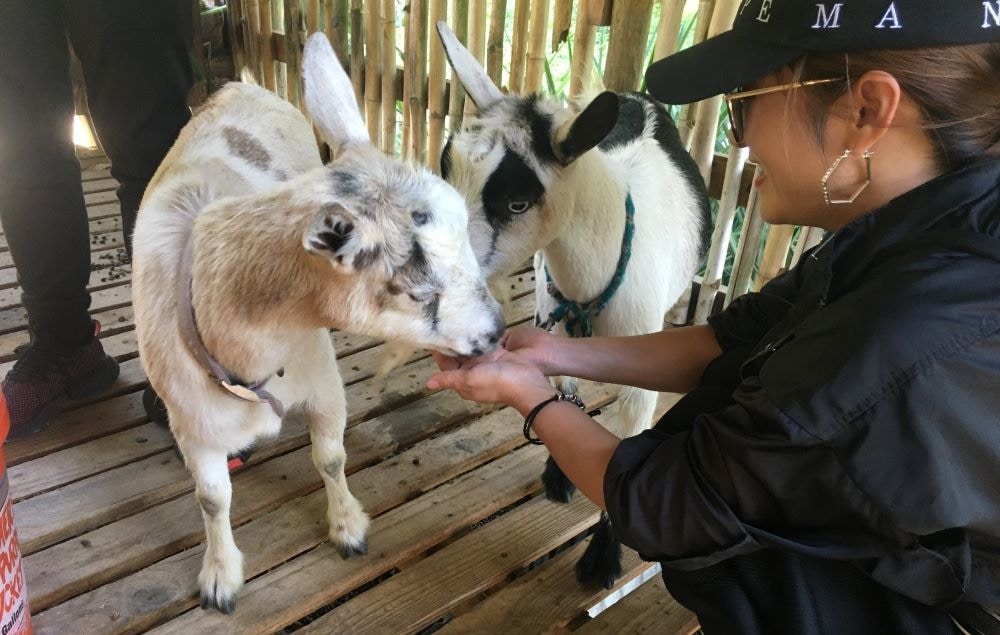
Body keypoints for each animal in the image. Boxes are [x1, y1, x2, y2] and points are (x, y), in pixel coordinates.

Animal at [438, 22, 712, 592]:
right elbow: (562, 386)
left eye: (517, 202)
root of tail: (630, 97)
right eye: (443, 170)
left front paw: (602, 557)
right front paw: (559, 475)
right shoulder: (553, 317)